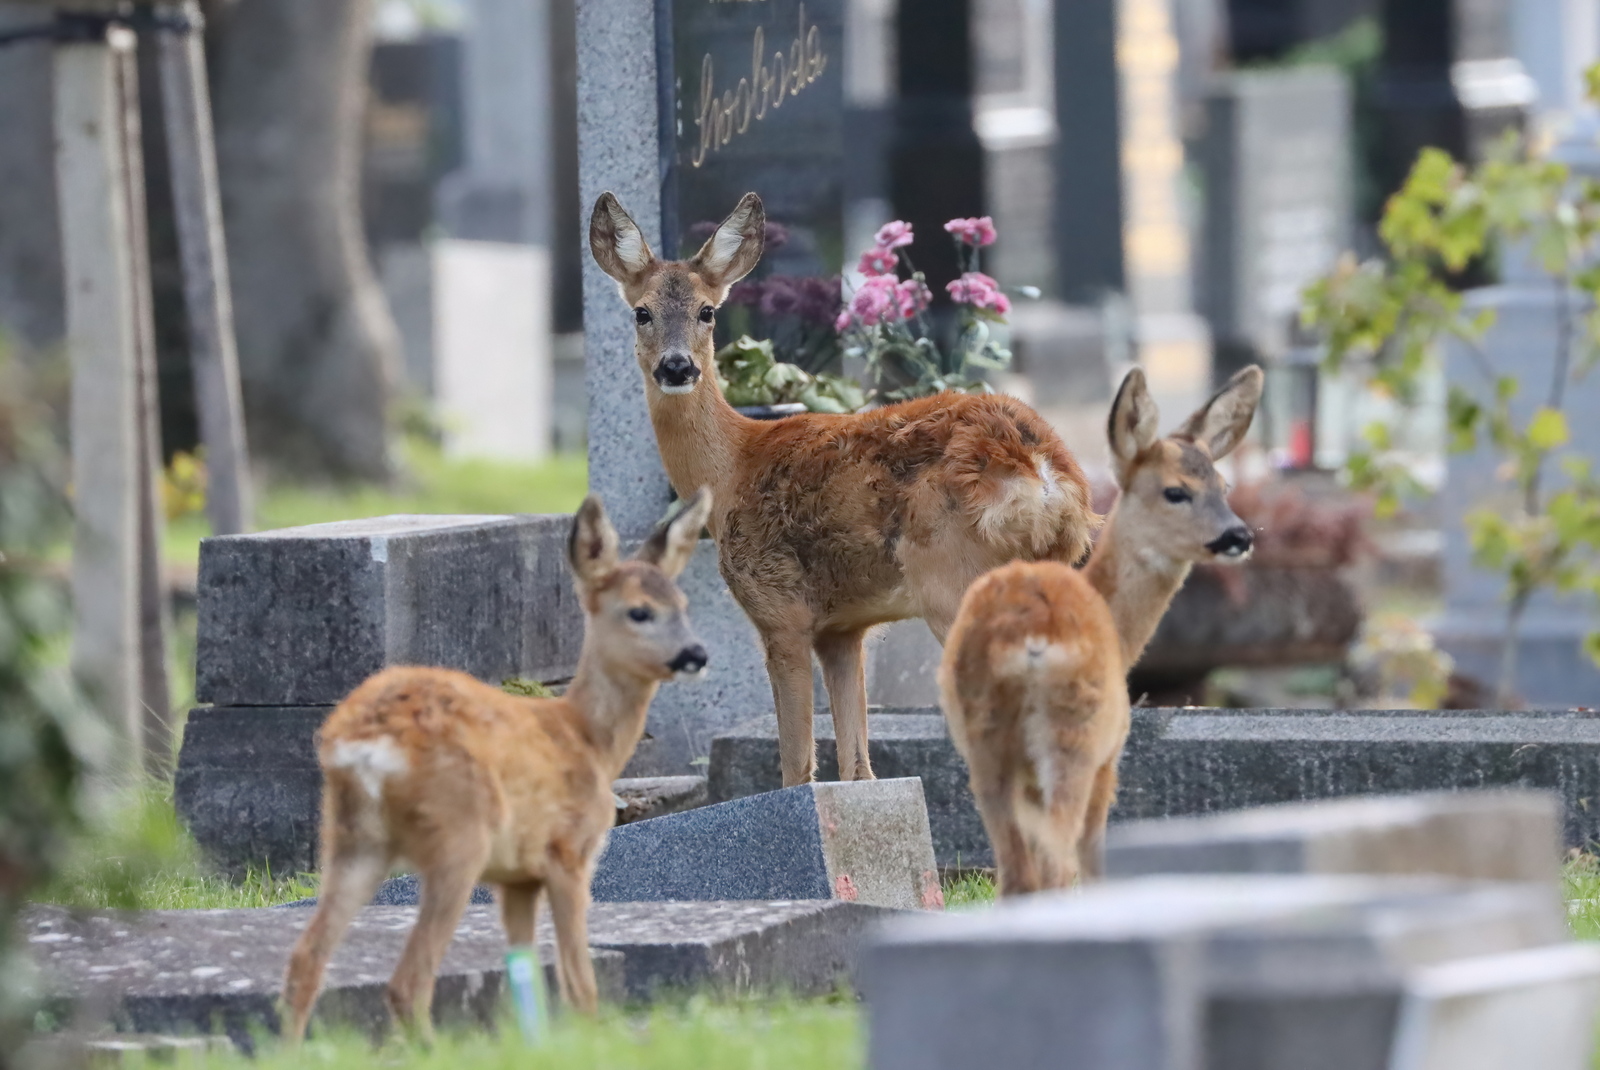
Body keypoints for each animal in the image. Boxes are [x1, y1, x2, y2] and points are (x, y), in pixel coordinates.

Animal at [283, 489, 713, 1036]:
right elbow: (581, 985)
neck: (587, 739)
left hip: (352, 839)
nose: (696, 654)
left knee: (306, 960)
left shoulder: (518, 878)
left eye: (683, 606)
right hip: (459, 833)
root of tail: (363, 743)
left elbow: (525, 975)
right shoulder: (566, 851)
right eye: (639, 612)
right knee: (407, 982)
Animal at [588, 191, 1100, 790]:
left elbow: (797, 767)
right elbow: (859, 769)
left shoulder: (780, 610)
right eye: (641, 311)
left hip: (952, 579)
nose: (676, 366)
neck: (733, 465)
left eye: (707, 311)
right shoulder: (843, 629)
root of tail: (1036, 466)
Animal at [934, 367, 1260, 895]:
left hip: (984, 743)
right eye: (1176, 491)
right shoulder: (1110, 754)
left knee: (1017, 874)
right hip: (1075, 736)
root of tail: (1024, 642)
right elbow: (1093, 859)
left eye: (1224, 486)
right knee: (1058, 862)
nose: (1238, 536)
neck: (1119, 631)